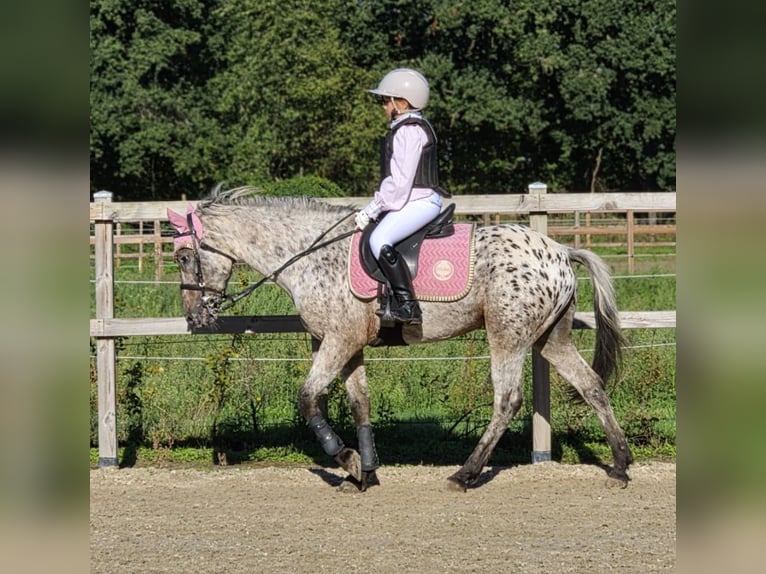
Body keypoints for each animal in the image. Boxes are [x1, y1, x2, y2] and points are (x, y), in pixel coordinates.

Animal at [167, 186, 634, 492]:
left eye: (185, 257)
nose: (194, 316)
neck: (311, 255)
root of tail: (560, 251)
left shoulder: (337, 341)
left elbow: (307, 399)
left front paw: (350, 462)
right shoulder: (347, 346)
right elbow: (359, 404)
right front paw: (366, 473)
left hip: (507, 334)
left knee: (507, 400)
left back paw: (465, 474)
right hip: (551, 339)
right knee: (592, 386)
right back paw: (620, 465)